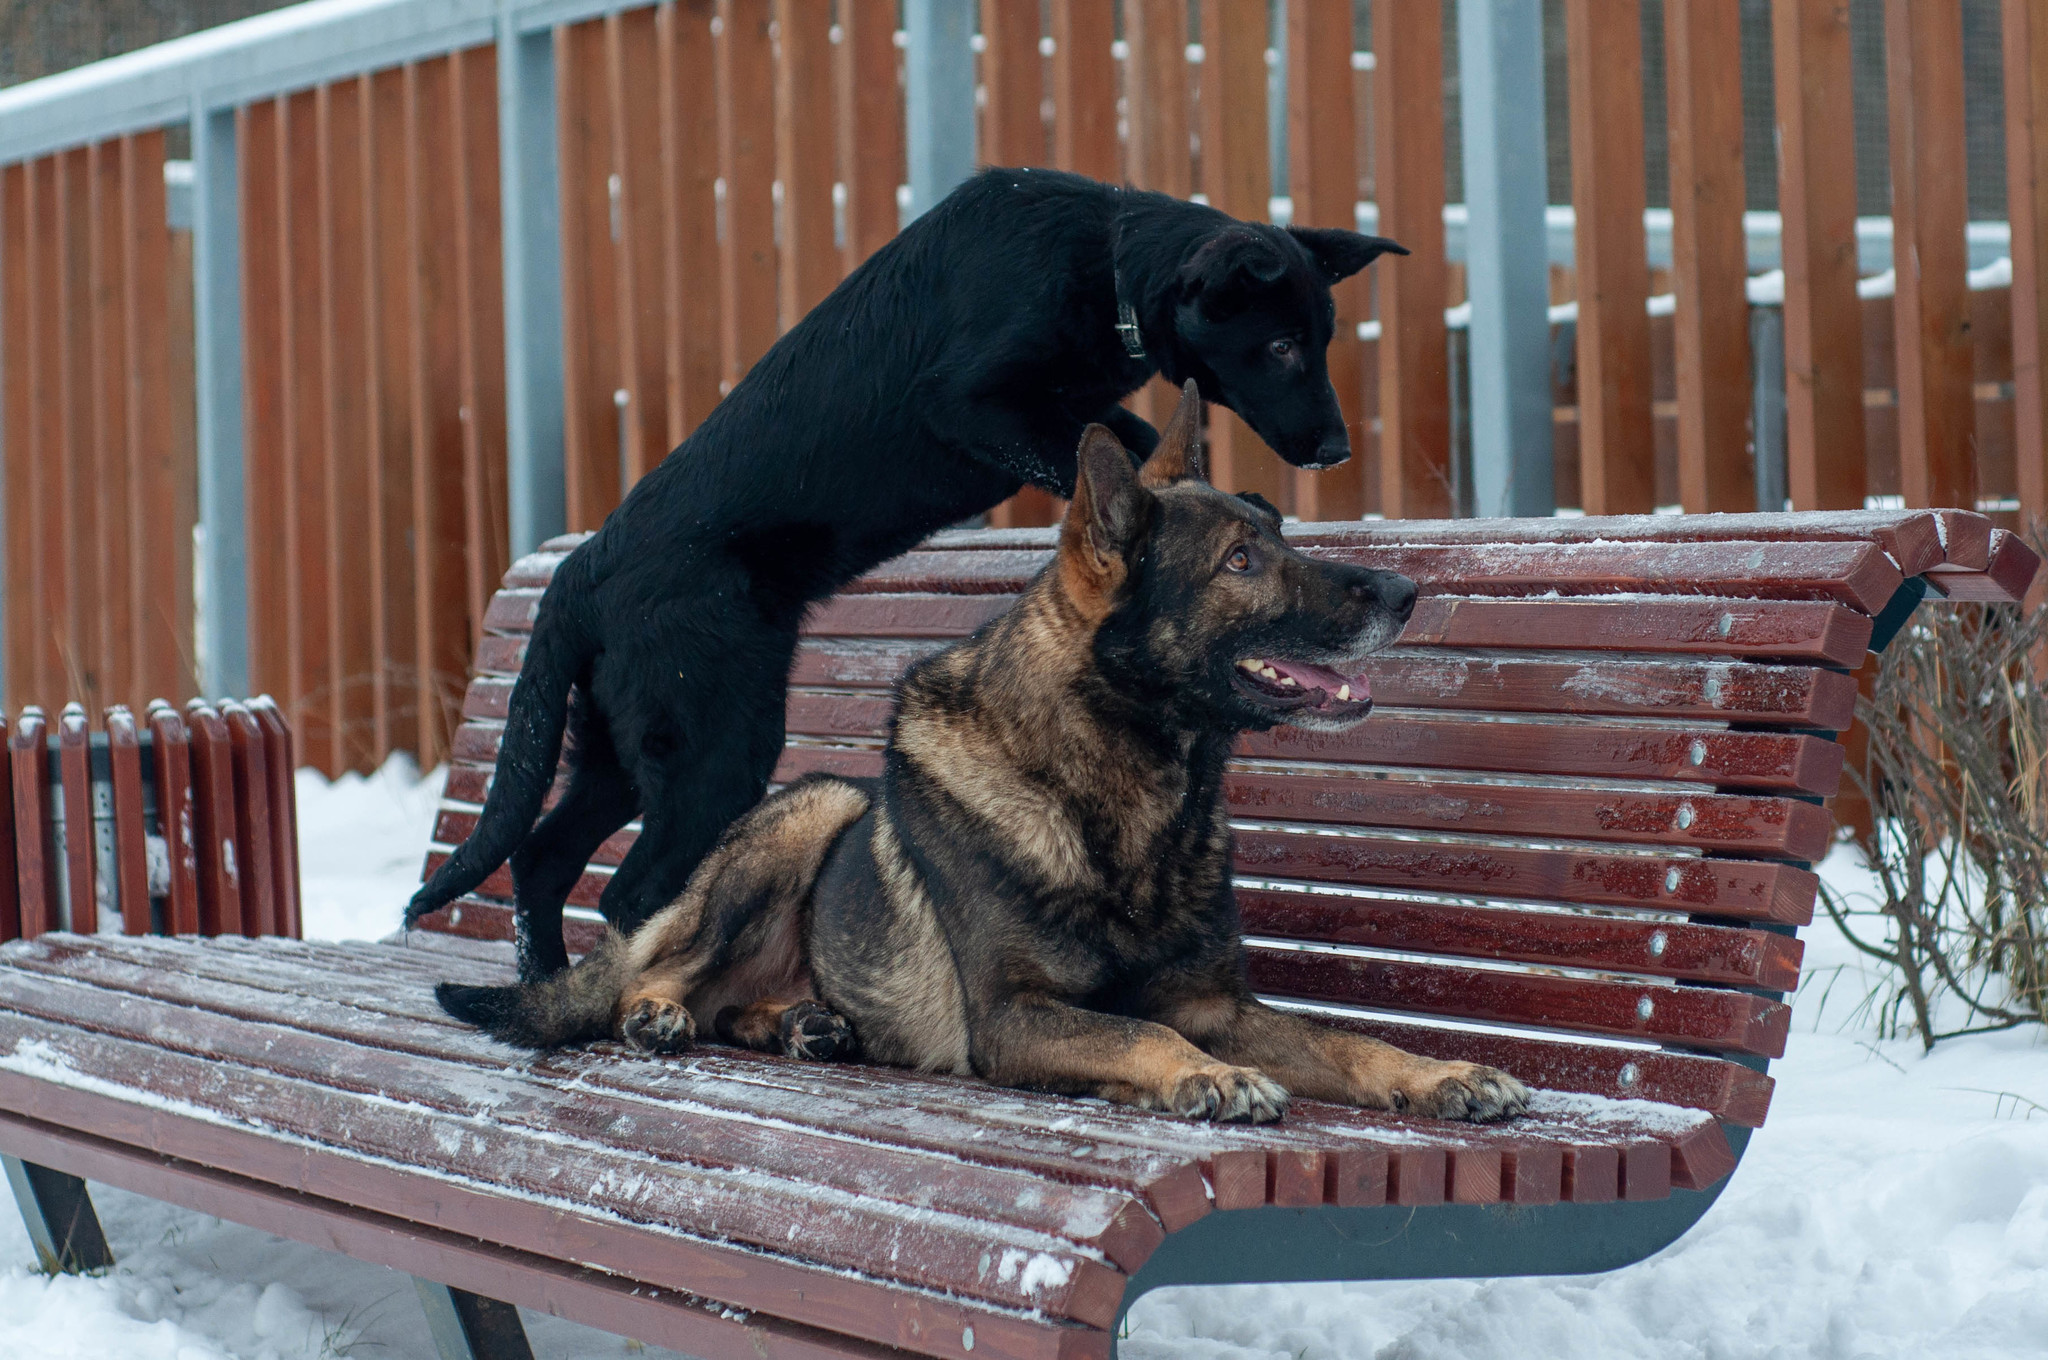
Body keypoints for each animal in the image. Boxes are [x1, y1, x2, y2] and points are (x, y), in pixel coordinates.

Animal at [401, 166, 1409, 979]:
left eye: (1319, 337)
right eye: (1280, 346)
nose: (1334, 447)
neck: (1104, 263)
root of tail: (581, 572)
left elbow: (1122, 434)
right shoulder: (975, 406)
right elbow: (1109, 447)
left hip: (622, 748)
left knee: (540, 861)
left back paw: (540, 984)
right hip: (715, 745)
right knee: (629, 891)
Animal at [440, 385, 1531, 1122]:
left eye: (1278, 531)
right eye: (1239, 560)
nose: (1405, 591)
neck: (1130, 796)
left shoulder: (1219, 1002)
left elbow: (1343, 1039)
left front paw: (1438, 1072)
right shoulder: (1015, 1017)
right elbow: (1140, 1028)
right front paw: (1205, 1075)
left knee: (734, 1002)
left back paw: (805, 1022)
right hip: (811, 809)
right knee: (647, 975)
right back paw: (664, 1013)